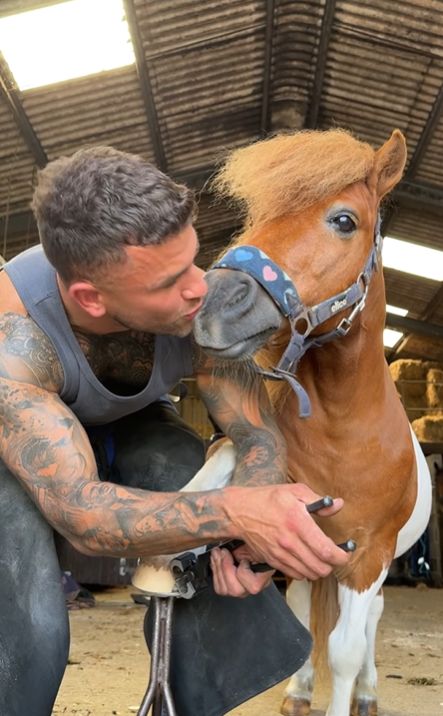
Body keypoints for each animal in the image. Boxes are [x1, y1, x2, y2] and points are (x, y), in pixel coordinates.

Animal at [193, 131, 432, 716]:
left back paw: (368, 692)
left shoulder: (370, 555)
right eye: (257, 214)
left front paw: (351, 694)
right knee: (307, 606)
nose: (213, 305)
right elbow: (305, 621)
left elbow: (345, 651)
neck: (346, 431)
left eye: (344, 220)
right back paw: (301, 689)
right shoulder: (291, 538)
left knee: (370, 623)